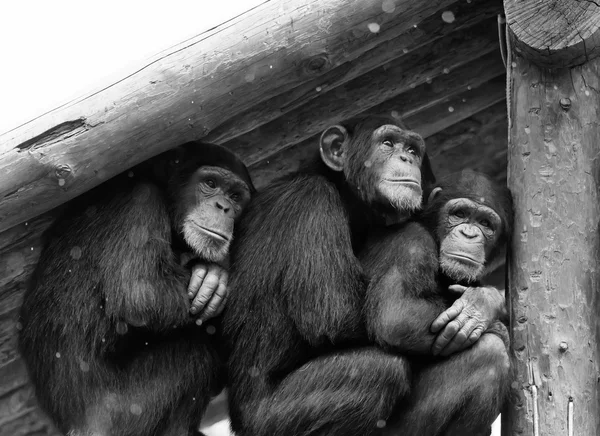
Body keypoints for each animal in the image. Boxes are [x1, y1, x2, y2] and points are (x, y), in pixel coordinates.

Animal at [17, 142, 254, 436]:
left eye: (235, 196)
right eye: (210, 183)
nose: (223, 206)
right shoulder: (140, 203)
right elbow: (142, 293)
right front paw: (215, 277)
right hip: (119, 417)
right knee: (194, 354)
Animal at [220, 115, 436, 436]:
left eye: (413, 149)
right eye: (387, 143)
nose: (406, 158)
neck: (344, 192)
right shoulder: (313, 203)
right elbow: (336, 314)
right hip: (271, 422)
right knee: (381, 370)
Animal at [358, 170, 512, 436]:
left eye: (485, 223)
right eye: (459, 214)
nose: (469, 233)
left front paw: (482, 303)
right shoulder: (409, 243)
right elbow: (397, 316)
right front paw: (487, 312)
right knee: (490, 354)